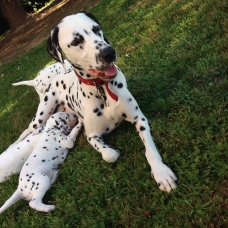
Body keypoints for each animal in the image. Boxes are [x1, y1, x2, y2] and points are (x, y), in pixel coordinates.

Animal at [14, 11, 177, 192]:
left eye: (96, 28)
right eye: (76, 41)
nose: (109, 52)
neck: (101, 90)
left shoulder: (139, 119)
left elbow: (150, 149)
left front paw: (161, 172)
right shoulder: (92, 136)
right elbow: (109, 155)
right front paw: (113, 150)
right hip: (41, 115)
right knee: (27, 130)